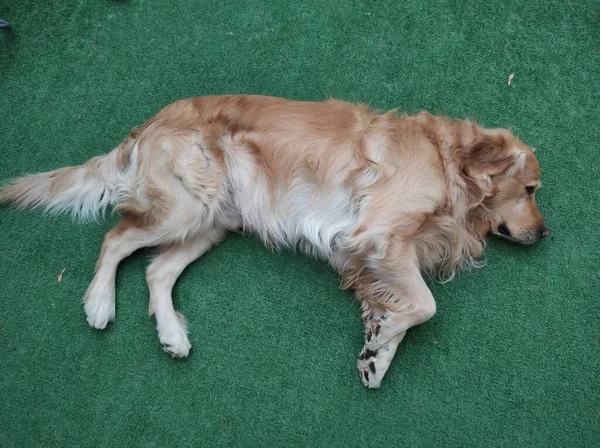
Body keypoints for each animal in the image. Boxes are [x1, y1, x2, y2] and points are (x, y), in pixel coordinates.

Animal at [0, 95, 548, 388]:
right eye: (530, 189)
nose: (546, 233)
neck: (446, 159)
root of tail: (153, 121)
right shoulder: (379, 233)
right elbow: (425, 304)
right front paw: (383, 338)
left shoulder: (381, 251)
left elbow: (397, 302)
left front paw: (376, 350)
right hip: (186, 208)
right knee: (116, 239)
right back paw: (98, 303)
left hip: (212, 221)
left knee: (157, 270)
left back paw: (173, 334)